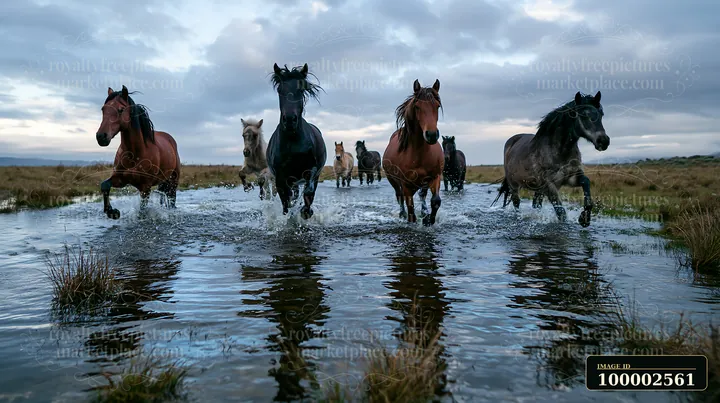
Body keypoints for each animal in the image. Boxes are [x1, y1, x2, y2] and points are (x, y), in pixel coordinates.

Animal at [95, 86, 181, 219]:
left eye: (121, 109)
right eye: (103, 109)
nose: (101, 137)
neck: (134, 154)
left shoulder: (145, 188)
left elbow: (142, 211)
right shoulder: (120, 180)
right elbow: (105, 185)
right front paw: (112, 212)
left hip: (173, 182)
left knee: (172, 201)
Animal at [265, 63, 327, 219]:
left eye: (301, 89)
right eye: (280, 90)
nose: (289, 120)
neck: (293, 142)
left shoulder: (311, 169)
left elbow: (309, 191)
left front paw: (306, 211)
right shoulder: (281, 178)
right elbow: (285, 203)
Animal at [382, 79, 444, 226]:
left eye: (437, 106)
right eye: (417, 107)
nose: (431, 135)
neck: (419, 154)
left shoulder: (435, 176)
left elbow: (435, 201)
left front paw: (429, 220)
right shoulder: (406, 185)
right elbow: (410, 210)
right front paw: (412, 219)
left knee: (422, 195)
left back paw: (424, 213)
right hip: (393, 181)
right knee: (399, 197)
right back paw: (402, 214)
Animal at [491, 91, 610, 227]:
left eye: (601, 114)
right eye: (584, 115)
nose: (604, 141)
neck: (560, 151)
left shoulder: (571, 178)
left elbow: (586, 183)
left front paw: (584, 219)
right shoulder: (549, 186)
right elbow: (561, 213)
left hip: (538, 190)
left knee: (536, 204)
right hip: (515, 186)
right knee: (516, 203)